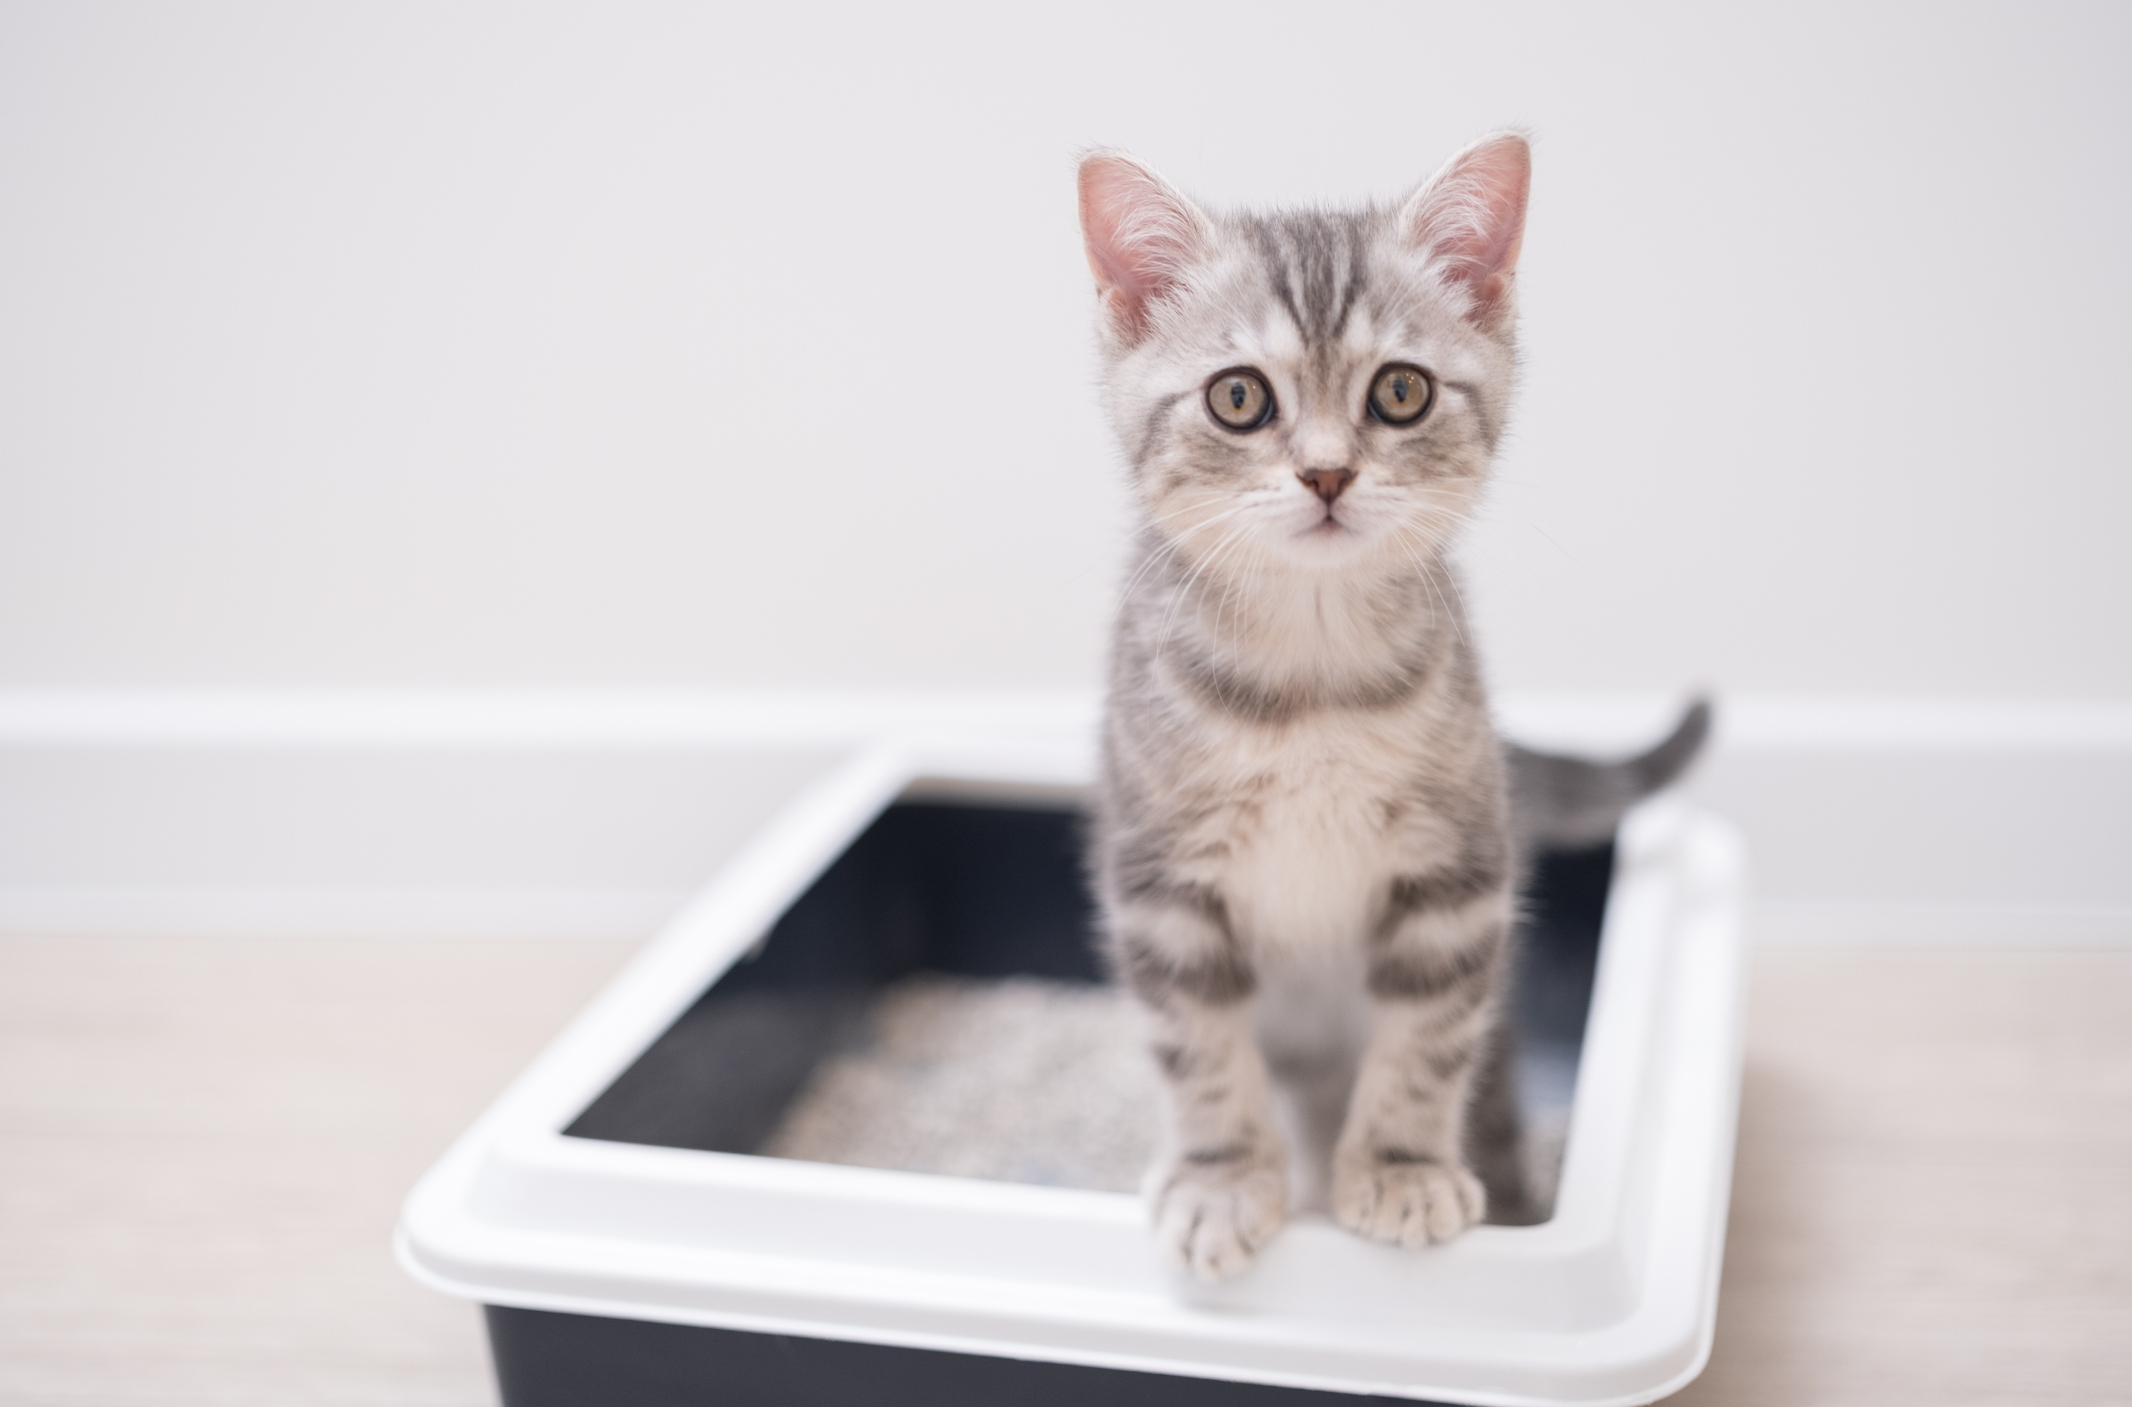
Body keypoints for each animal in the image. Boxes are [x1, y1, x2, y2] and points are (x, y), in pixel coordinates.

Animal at [1083, 137, 1586, 1279]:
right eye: (1237, 398)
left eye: (1400, 391)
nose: (1324, 472)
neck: (1307, 680)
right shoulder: (1159, 880)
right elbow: (1200, 1046)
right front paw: (1222, 1179)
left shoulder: (1458, 872)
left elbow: (1425, 1040)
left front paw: (1400, 1169)